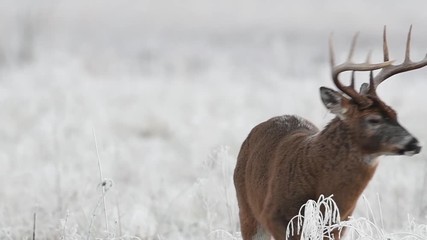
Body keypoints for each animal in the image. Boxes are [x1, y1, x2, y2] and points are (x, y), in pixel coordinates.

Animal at [234, 26, 427, 240]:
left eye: (395, 114)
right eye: (373, 119)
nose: (415, 143)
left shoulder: (339, 221)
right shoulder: (275, 214)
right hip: (247, 209)